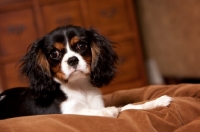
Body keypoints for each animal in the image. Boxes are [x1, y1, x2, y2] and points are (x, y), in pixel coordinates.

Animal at [0, 25, 172, 119]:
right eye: (54, 54)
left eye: (81, 45)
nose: (72, 60)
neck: (79, 87)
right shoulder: (66, 113)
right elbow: (89, 112)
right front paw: (109, 111)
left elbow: (129, 106)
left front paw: (157, 101)